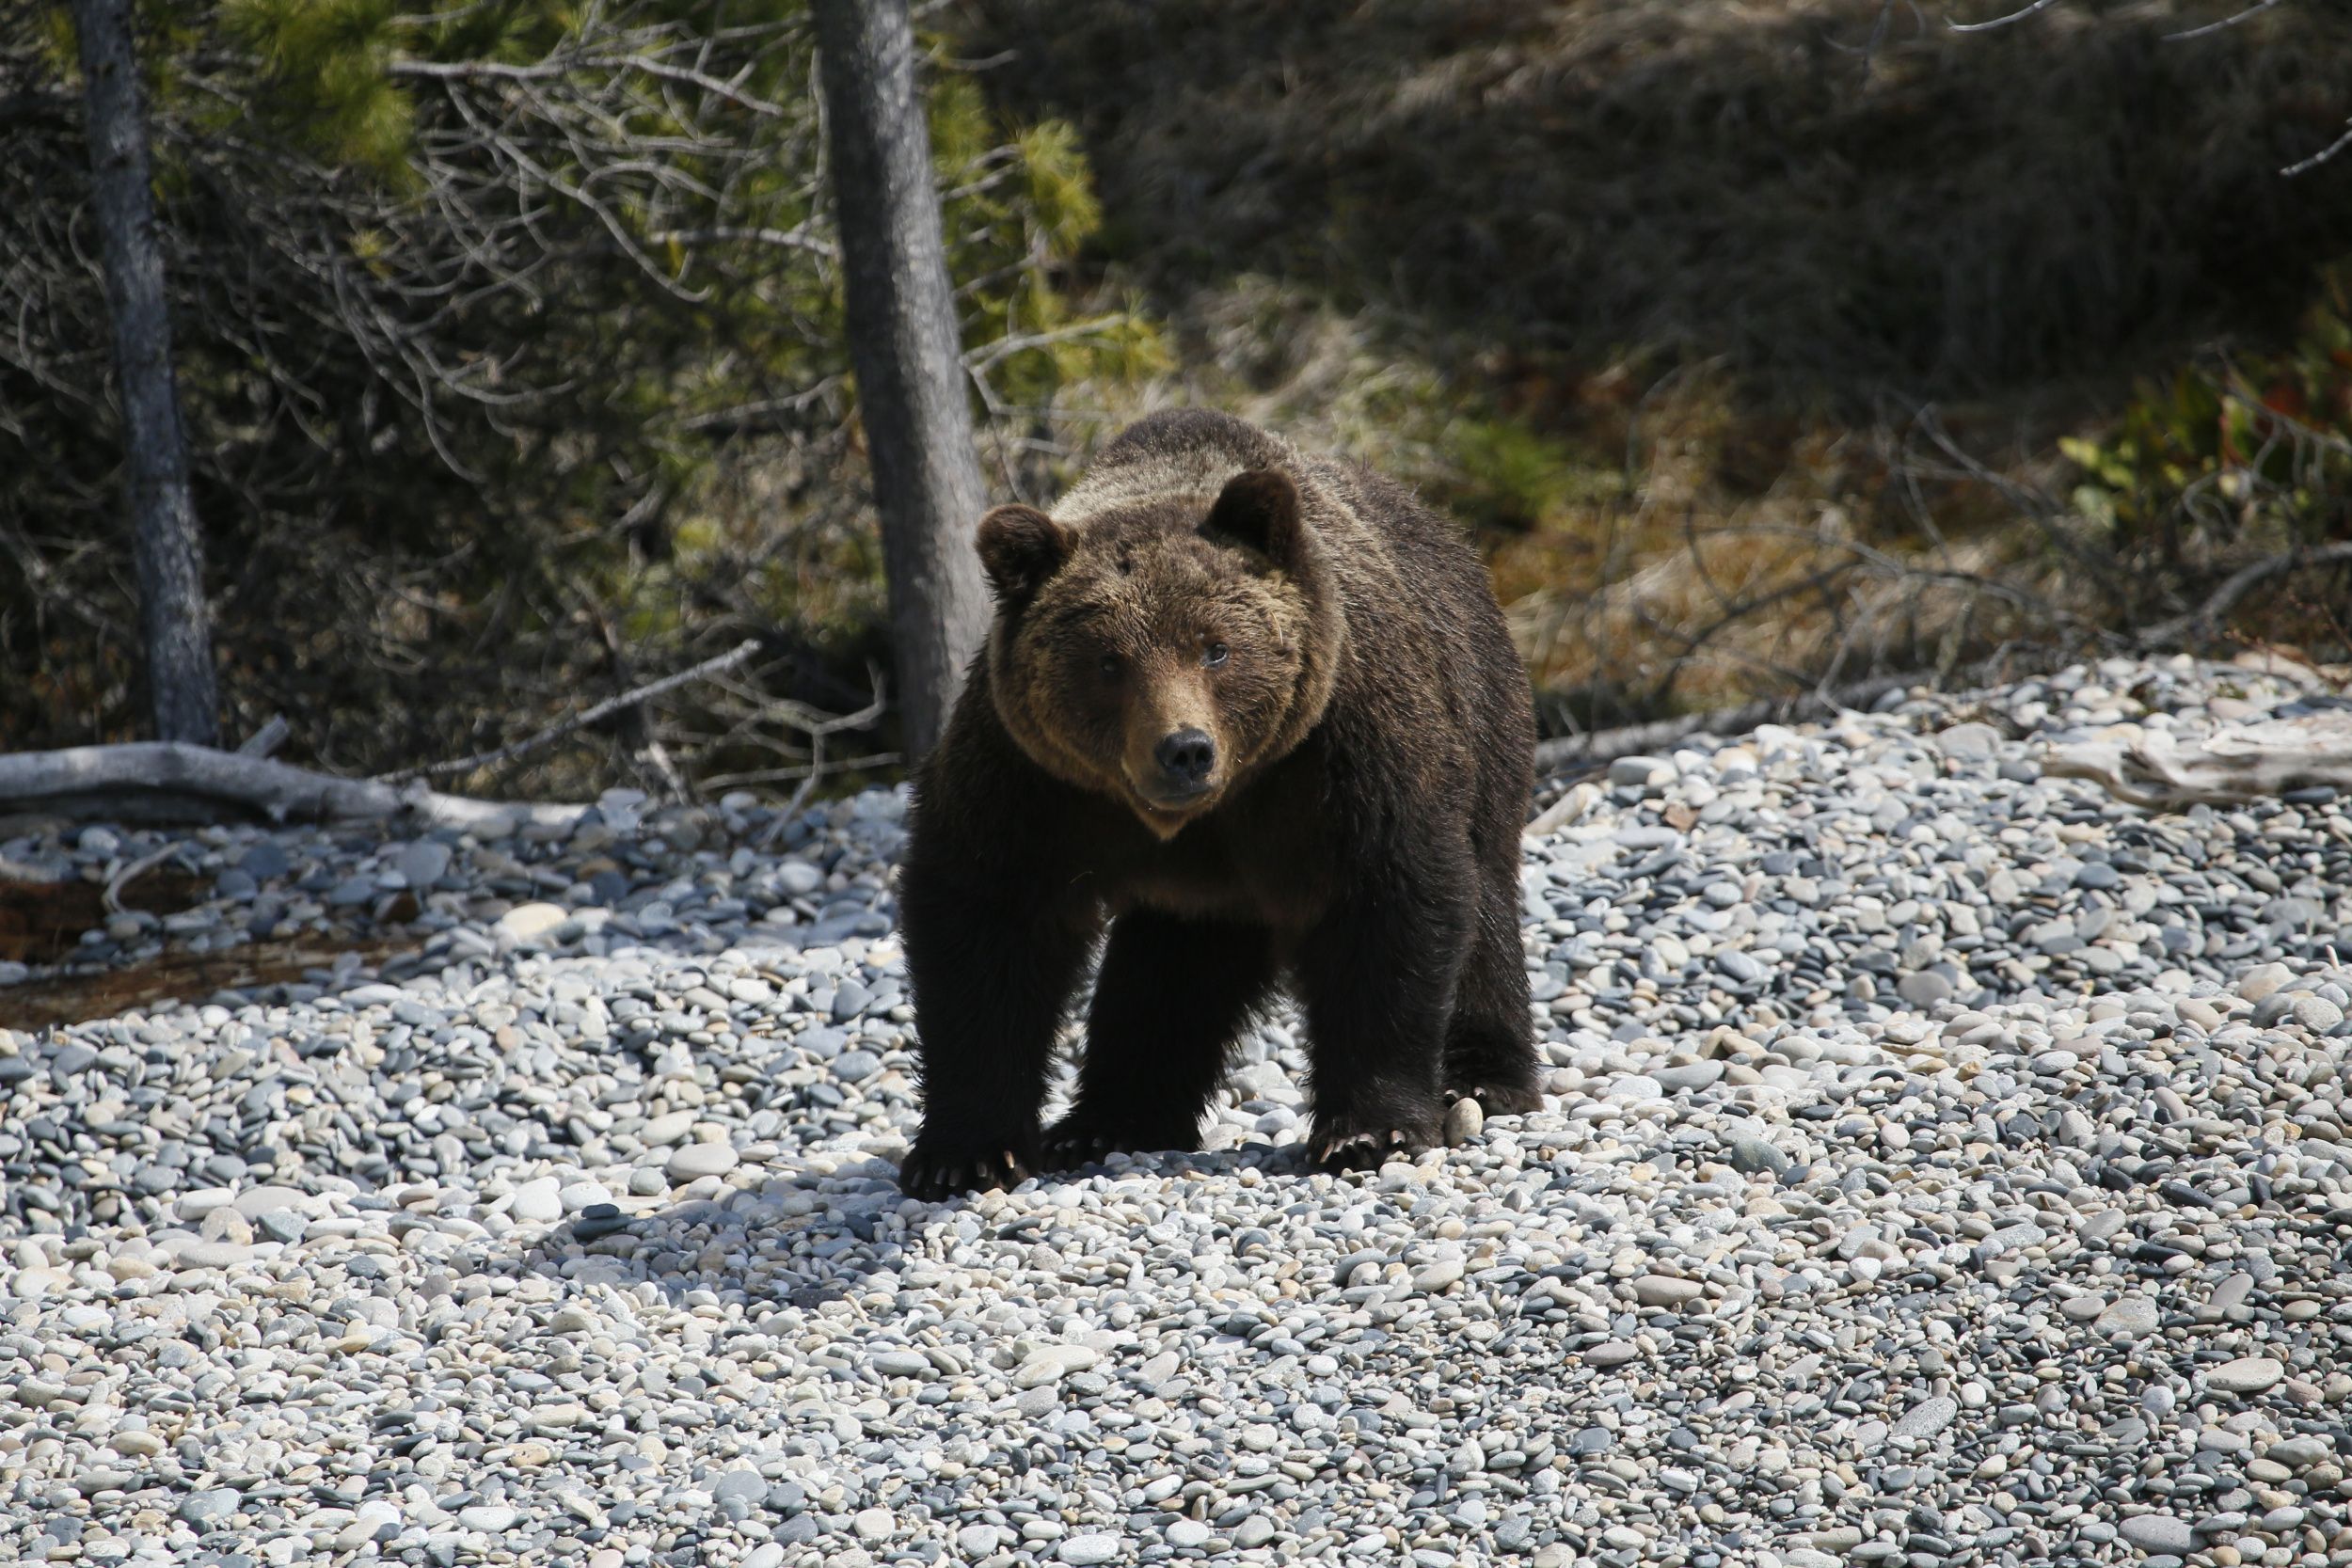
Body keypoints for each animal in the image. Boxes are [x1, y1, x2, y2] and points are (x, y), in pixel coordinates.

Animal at [889, 408, 1534, 1203]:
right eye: (1109, 661)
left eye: (1215, 647)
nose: (1185, 749)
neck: (1204, 812)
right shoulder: (1032, 780)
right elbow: (986, 924)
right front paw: (964, 1153)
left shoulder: (1342, 750)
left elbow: (1389, 900)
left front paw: (1368, 1128)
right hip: (1196, 894)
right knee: (1167, 977)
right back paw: (1110, 1119)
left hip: (1478, 709)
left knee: (1485, 903)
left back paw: (1482, 1078)